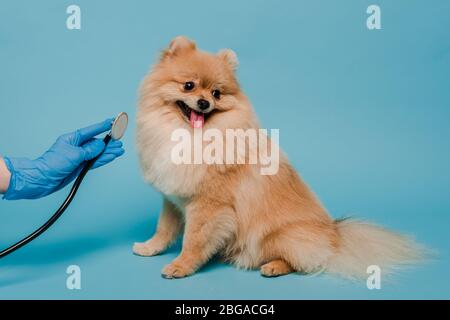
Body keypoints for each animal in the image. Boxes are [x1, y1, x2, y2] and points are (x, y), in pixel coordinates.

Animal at [134, 36, 426, 278]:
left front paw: (181, 266)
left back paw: (274, 266)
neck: (188, 137)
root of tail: (335, 234)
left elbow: (192, 241)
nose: (205, 102)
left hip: (275, 236)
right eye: (188, 86)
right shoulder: (173, 199)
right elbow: (164, 228)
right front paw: (150, 247)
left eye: (217, 93)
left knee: (302, 262)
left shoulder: (209, 206)